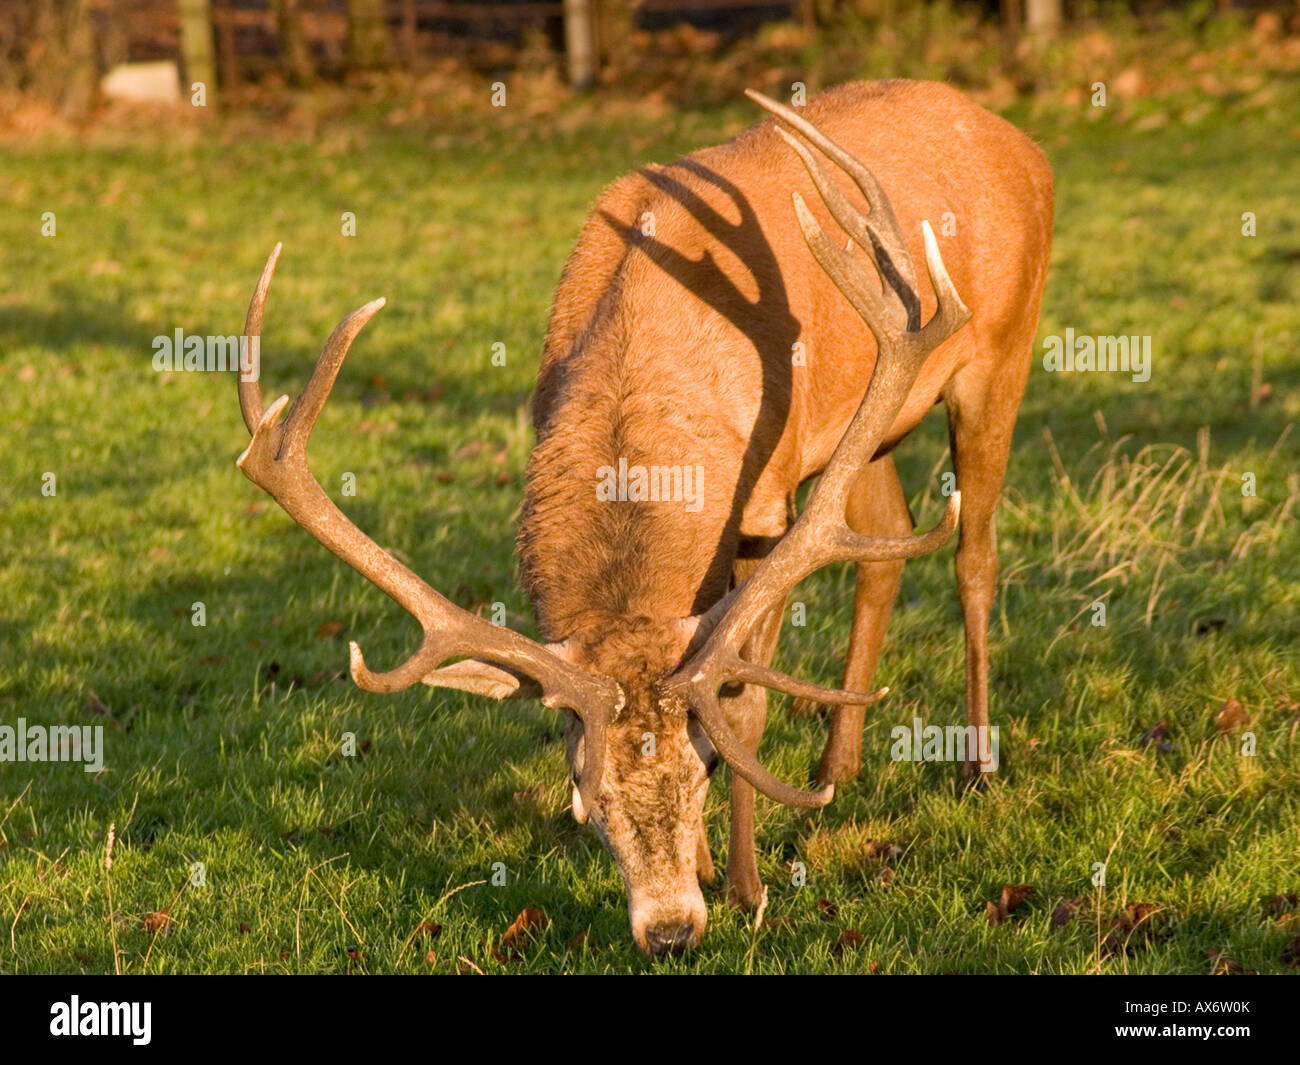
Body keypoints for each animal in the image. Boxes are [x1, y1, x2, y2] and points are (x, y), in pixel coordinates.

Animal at [234, 80, 1054, 957]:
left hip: (1001, 351)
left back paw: (976, 766)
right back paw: (838, 766)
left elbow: (746, 700)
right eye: (584, 789)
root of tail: (1022, 143)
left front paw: (747, 888)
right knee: (886, 543)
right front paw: (712, 867)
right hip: (876, 429)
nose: (670, 930)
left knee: (974, 556)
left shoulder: (767, 499)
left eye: (705, 768)